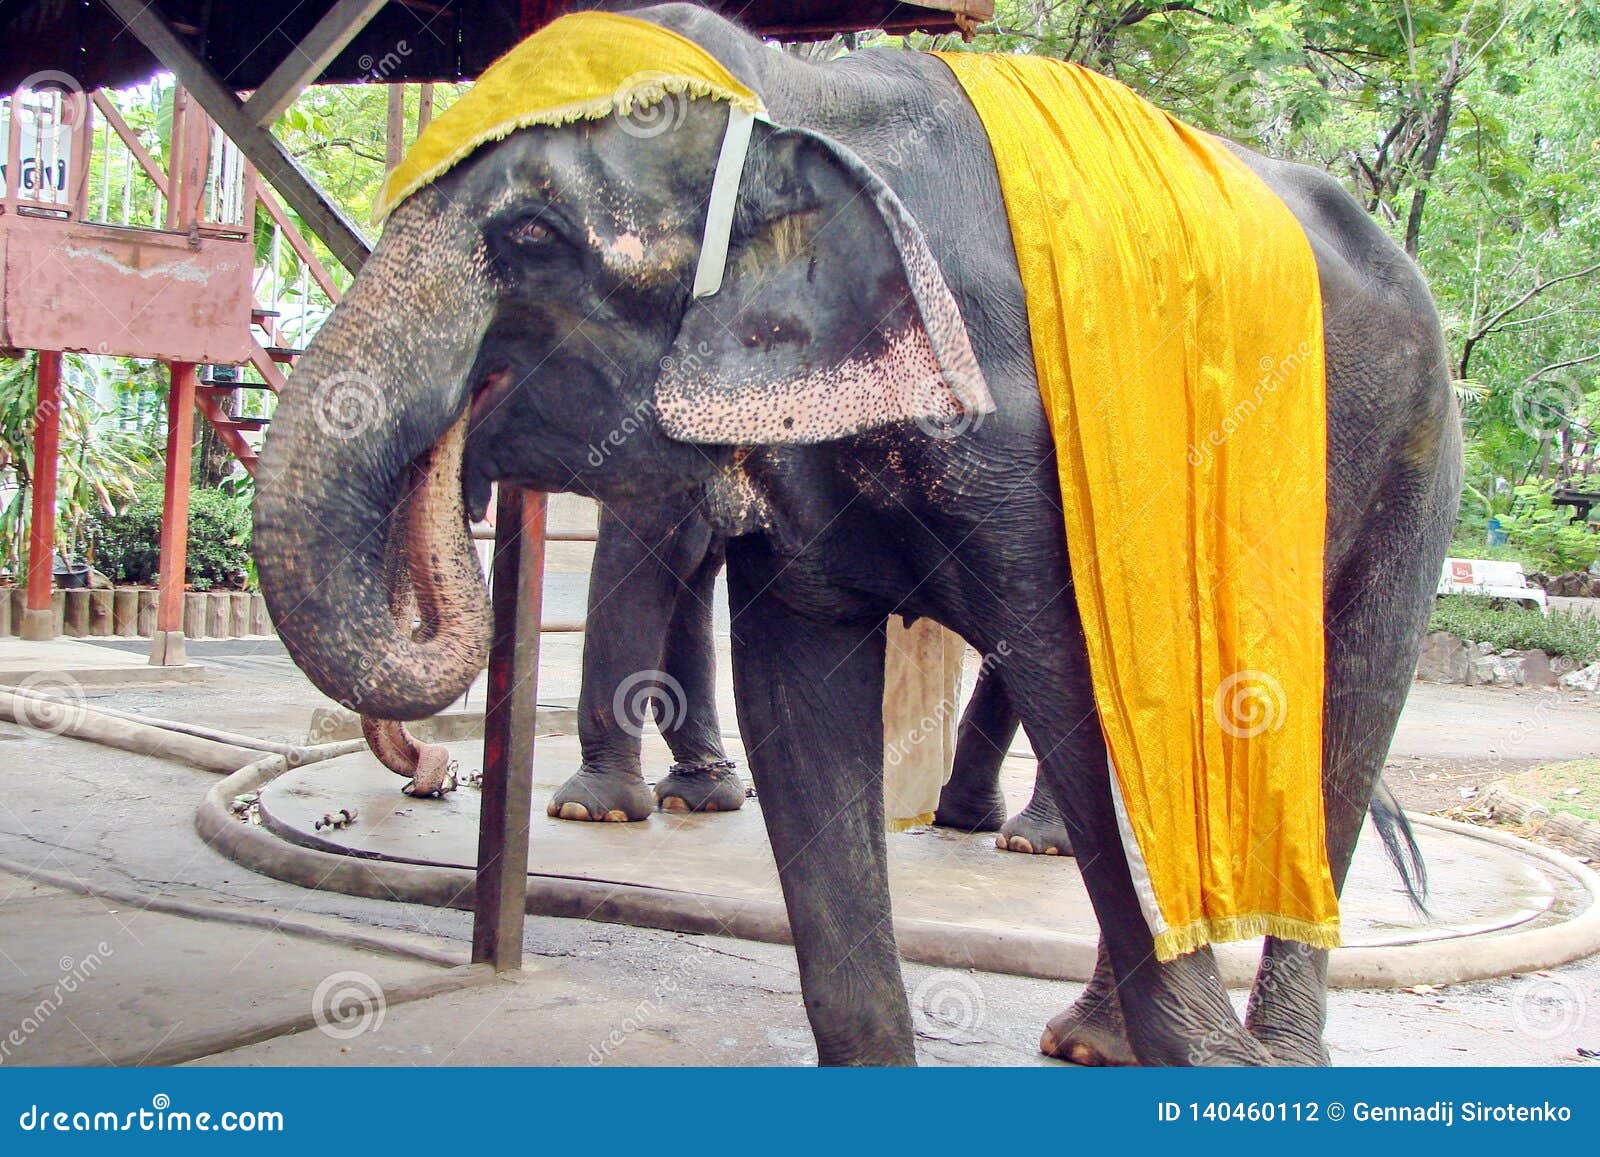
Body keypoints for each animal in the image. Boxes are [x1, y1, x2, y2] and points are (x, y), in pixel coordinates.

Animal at [252, 2, 1465, 1068]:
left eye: (533, 237)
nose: (451, 464)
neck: (799, 98)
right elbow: (797, 704)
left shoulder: (1047, 438)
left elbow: (1097, 698)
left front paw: (1222, 1068)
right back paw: (1092, 1040)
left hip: (1422, 456)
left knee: (1344, 715)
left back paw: (1252, 1048)